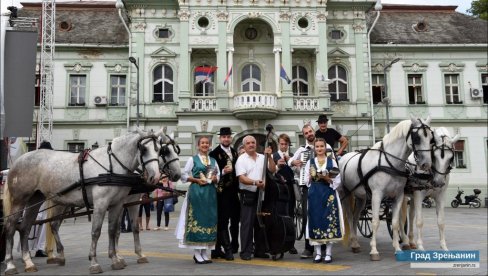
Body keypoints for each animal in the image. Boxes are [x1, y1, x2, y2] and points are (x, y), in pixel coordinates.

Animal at [2, 129, 162, 274]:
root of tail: (17, 162)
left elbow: (111, 230)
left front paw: (115, 260)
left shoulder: (117, 204)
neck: (112, 166)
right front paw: (94, 263)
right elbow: (96, 232)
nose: (154, 177)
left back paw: (28, 262)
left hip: (36, 199)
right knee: (10, 227)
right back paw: (10, 264)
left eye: (159, 150)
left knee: (25, 227)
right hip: (19, 200)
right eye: (144, 149)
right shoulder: (101, 203)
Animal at [338, 116, 432, 260]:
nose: (426, 164)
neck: (389, 163)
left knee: (355, 217)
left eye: (431, 138)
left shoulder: (398, 196)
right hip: (347, 194)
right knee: (349, 216)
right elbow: (375, 222)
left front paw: (398, 248)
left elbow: (395, 222)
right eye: (417, 137)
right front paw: (374, 250)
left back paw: (355, 243)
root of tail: (343, 157)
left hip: (361, 198)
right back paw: (354, 243)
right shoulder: (377, 195)